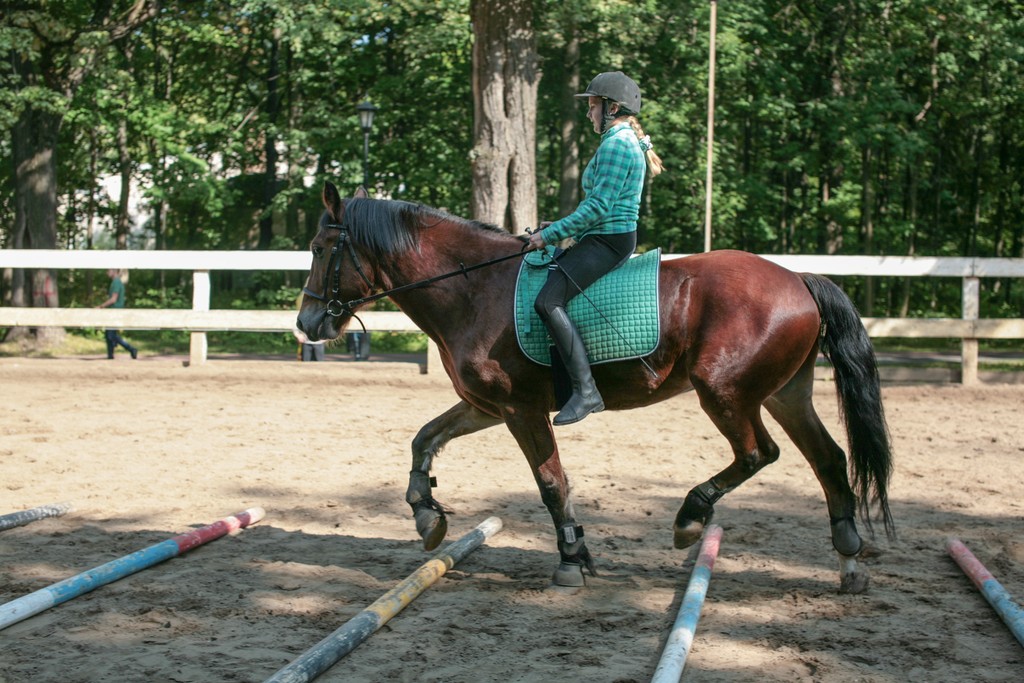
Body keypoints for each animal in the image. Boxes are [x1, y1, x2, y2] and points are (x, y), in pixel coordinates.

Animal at [299, 181, 892, 593]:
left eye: (322, 248)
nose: (307, 324)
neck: (475, 289)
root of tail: (799, 280)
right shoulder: (487, 406)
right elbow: (424, 438)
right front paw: (426, 514)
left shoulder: (522, 411)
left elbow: (551, 484)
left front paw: (570, 560)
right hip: (784, 394)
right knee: (829, 459)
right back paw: (848, 561)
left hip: (725, 394)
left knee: (757, 453)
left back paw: (690, 517)